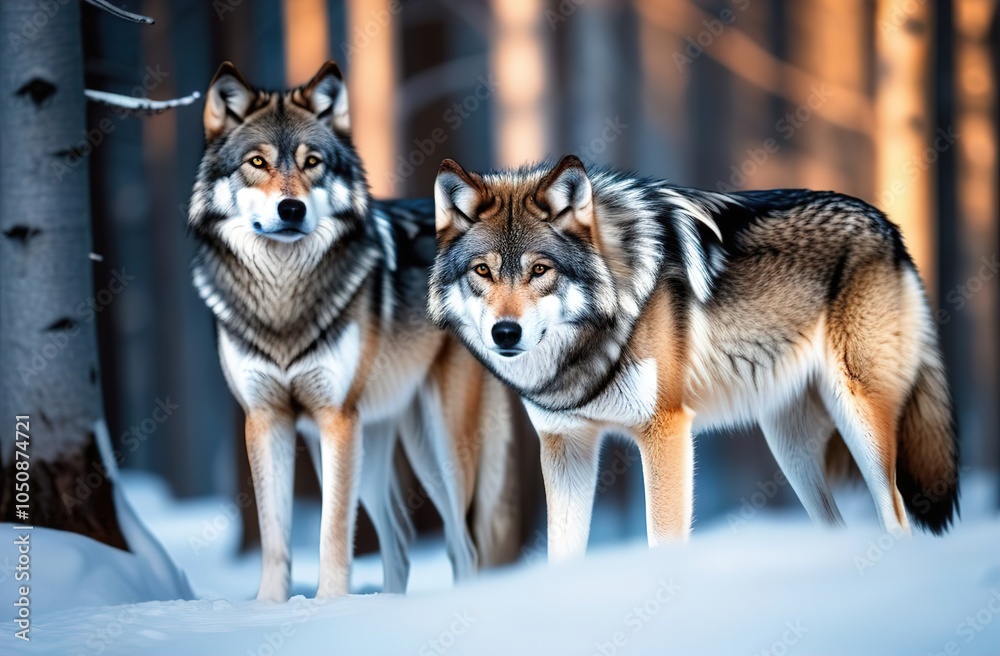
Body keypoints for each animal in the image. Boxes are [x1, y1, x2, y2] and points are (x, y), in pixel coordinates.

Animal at [188, 61, 519, 600]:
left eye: (313, 162)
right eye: (257, 162)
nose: (292, 209)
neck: (284, 300)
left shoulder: (336, 419)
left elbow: (332, 532)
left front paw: (328, 605)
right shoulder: (268, 419)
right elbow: (275, 536)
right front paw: (269, 606)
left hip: (438, 444)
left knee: (463, 546)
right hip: (376, 440)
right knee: (402, 539)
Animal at [428, 154, 959, 560]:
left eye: (540, 270)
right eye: (482, 271)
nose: (505, 332)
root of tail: (887, 226)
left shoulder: (664, 431)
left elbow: (662, 541)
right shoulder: (566, 445)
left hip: (860, 419)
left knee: (896, 517)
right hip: (789, 446)